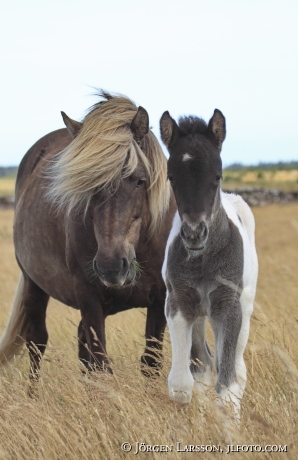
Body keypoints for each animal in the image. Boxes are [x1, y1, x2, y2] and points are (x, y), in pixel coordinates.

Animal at [0, 89, 176, 380]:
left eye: (140, 180)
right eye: (86, 184)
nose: (111, 266)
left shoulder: (160, 300)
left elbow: (150, 363)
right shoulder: (89, 297)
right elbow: (101, 365)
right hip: (34, 285)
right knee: (37, 343)